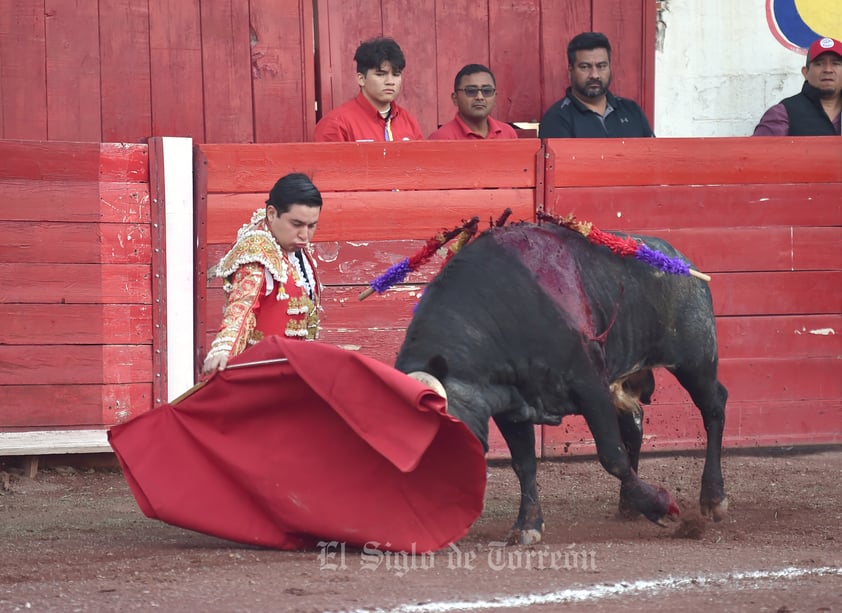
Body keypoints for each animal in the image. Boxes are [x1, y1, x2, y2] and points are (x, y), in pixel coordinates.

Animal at [394, 222, 728, 544]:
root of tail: (680, 260)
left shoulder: (590, 386)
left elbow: (611, 455)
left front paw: (660, 506)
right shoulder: (512, 405)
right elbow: (524, 464)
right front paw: (527, 526)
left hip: (696, 362)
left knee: (714, 406)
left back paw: (713, 498)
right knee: (635, 423)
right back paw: (628, 505)